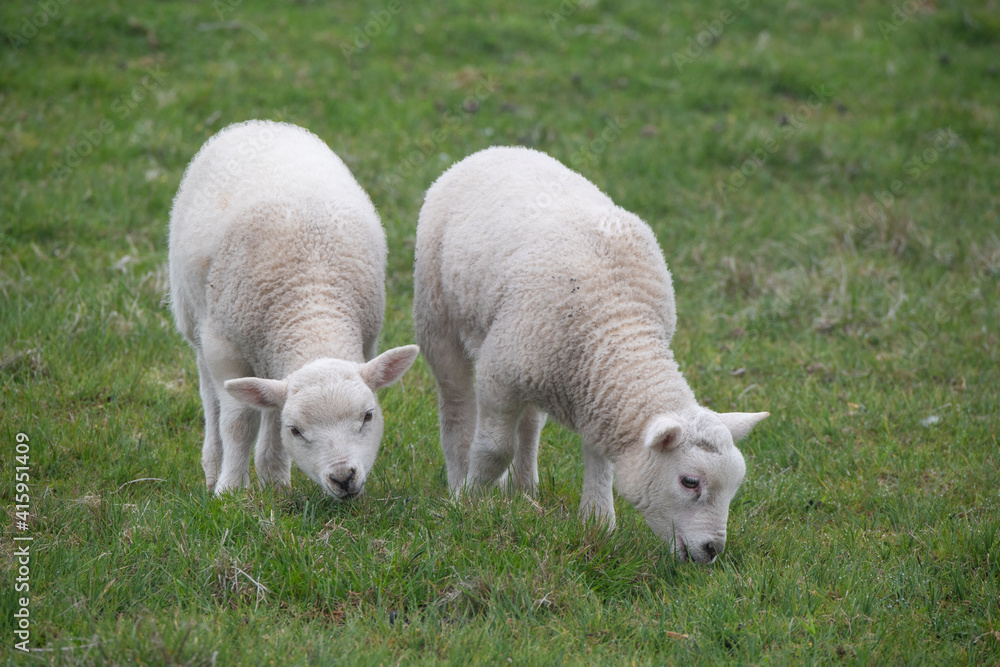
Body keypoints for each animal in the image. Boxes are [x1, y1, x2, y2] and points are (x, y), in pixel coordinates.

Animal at [171, 118, 418, 496]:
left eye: (368, 416)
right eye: (297, 431)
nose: (344, 478)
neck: (311, 304)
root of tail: (260, 124)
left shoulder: (364, 340)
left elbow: (272, 412)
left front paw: (273, 484)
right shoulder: (225, 348)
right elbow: (239, 421)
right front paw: (230, 491)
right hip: (193, 316)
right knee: (210, 395)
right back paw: (213, 466)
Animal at [410, 146, 768, 564]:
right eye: (690, 481)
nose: (712, 550)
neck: (617, 322)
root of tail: (500, 149)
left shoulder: (594, 387)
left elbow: (597, 453)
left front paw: (597, 522)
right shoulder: (498, 375)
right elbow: (494, 449)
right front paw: (470, 501)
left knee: (529, 423)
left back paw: (523, 489)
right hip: (439, 319)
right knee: (455, 406)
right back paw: (458, 480)